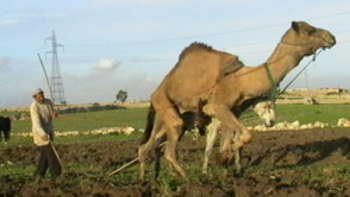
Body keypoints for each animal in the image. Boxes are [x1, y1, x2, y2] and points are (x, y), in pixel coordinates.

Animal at [139, 20, 336, 179]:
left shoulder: (233, 111)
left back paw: (146, 179)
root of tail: (155, 93)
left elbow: (232, 140)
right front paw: (222, 159)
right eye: (310, 30)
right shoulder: (219, 106)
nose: (331, 37)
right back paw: (185, 178)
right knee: (169, 144)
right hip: (165, 104)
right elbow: (245, 136)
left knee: (148, 146)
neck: (242, 80)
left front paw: (227, 162)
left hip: (165, 114)